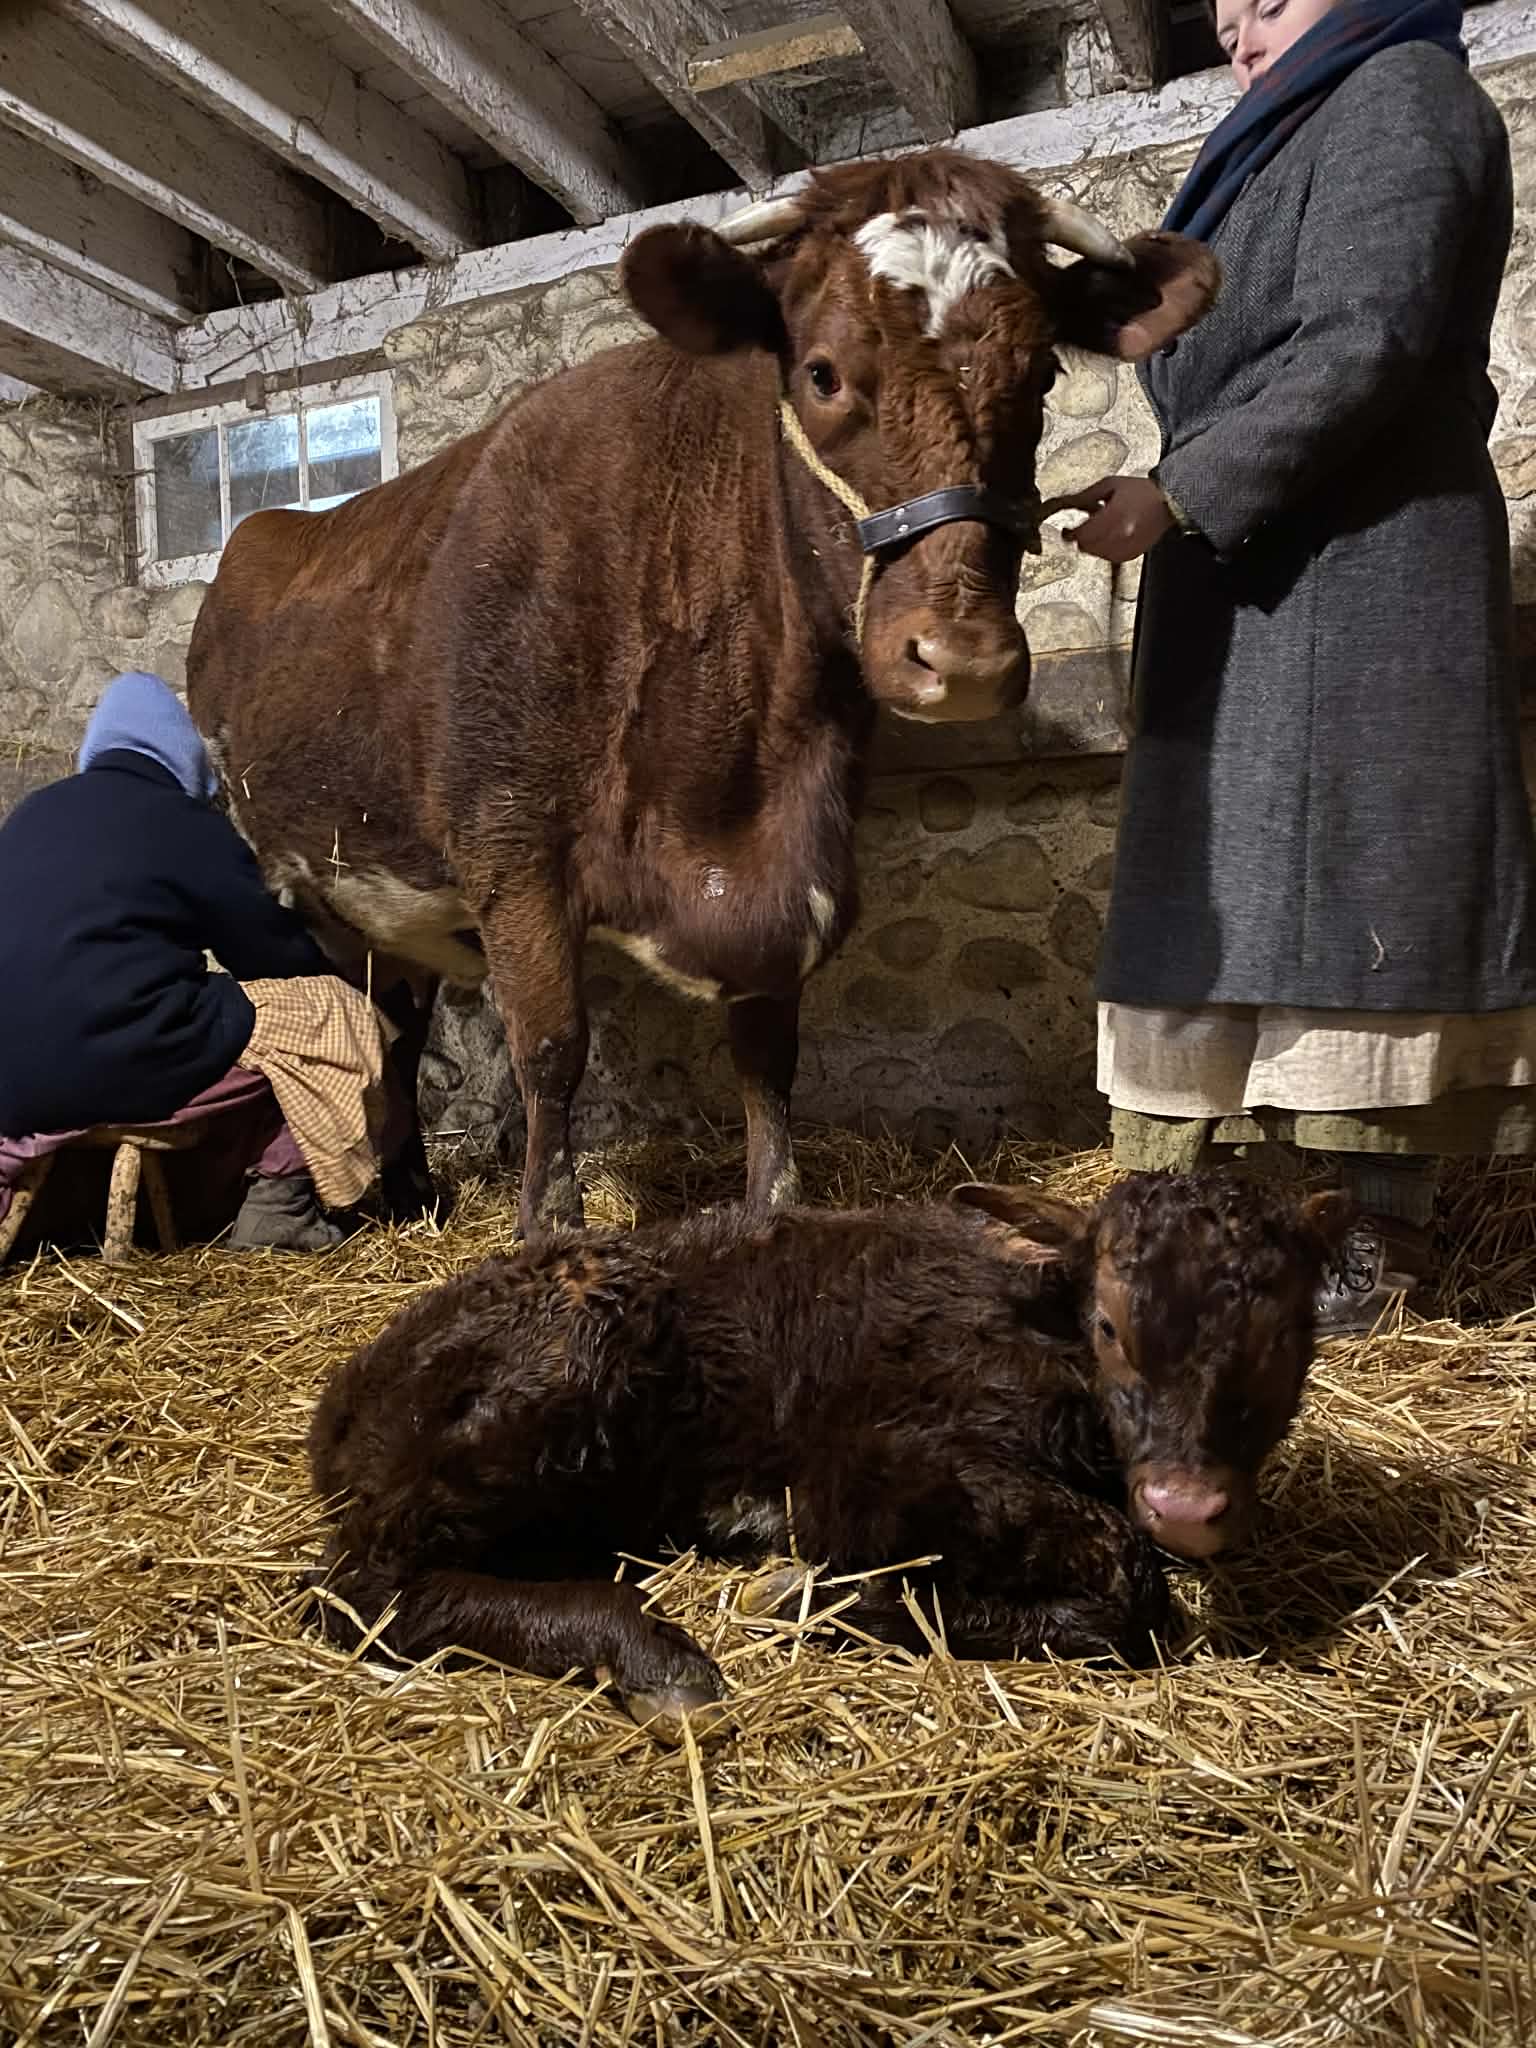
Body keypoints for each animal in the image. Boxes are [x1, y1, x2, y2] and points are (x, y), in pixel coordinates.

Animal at [188, 151, 1219, 1240]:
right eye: (820, 371)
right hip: (314, 889)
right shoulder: (512, 854)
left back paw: (414, 1191)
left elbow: (768, 1058)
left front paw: (771, 1205)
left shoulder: (790, 876)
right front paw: (546, 1226)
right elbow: (551, 1048)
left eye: (1043, 375)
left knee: (397, 1016)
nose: (964, 658)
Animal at [307, 1171, 1351, 1743]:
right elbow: (1130, 1580)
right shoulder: (869, 1465)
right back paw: (654, 1659)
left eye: (1288, 1333)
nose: (1187, 1504)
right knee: (363, 1589)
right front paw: (822, 1597)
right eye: (1110, 1326)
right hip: (564, 1356)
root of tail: (345, 1397)